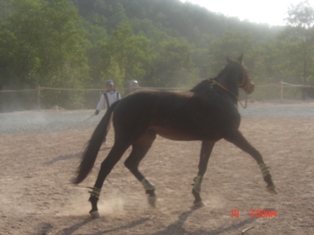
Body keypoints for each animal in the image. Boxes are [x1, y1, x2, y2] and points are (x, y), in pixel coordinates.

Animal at [73, 54, 278, 218]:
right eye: (246, 69)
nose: (252, 86)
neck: (221, 95)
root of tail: (122, 100)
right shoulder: (232, 134)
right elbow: (256, 153)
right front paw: (270, 185)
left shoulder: (209, 140)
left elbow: (202, 167)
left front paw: (197, 198)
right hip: (124, 140)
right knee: (106, 165)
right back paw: (94, 207)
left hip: (145, 140)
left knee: (131, 163)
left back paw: (151, 193)